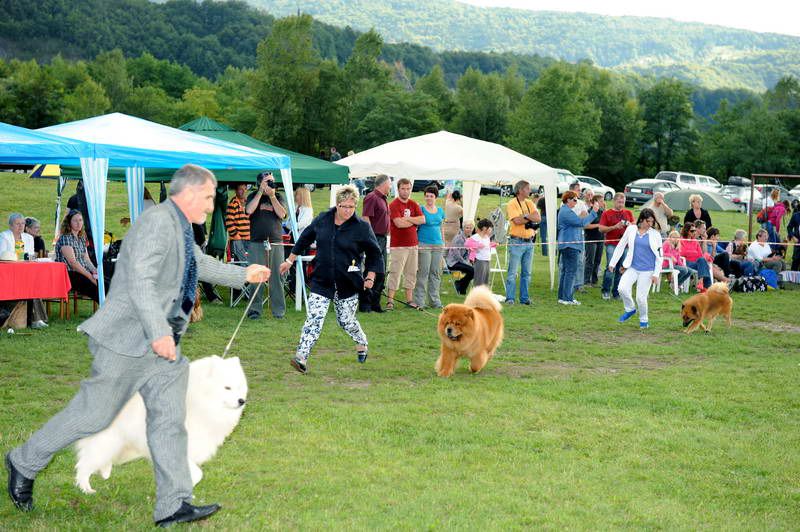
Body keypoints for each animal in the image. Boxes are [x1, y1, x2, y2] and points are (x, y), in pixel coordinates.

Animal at [77, 356, 250, 492]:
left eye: (240, 387)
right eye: (227, 387)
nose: (242, 401)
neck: (197, 402)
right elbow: (196, 473)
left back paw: (104, 473)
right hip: (109, 441)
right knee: (85, 463)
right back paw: (85, 488)